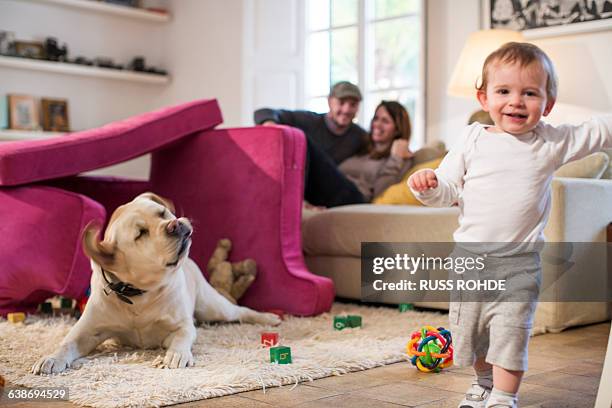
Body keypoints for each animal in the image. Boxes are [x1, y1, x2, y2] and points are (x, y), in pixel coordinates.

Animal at [32, 193, 280, 374]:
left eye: (162, 213)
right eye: (141, 233)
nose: (174, 224)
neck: (138, 293)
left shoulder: (181, 325)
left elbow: (181, 337)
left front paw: (176, 355)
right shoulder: (86, 332)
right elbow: (66, 344)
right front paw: (51, 358)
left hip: (213, 307)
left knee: (240, 311)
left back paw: (268, 318)